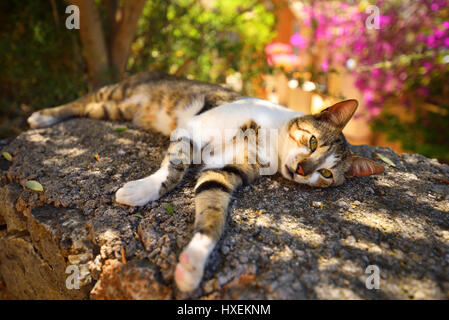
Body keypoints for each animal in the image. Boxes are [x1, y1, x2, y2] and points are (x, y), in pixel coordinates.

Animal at [26, 72, 384, 292]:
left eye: (327, 174)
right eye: (312, 141)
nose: (301, 169)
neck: (271, 144)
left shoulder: (223, 173)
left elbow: (212, 213)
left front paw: (192, 264)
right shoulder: (192, 129)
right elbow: (174, 168)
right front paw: (141, 191)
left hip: (115, 110)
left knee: (92, 107)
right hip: (117, 93)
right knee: (81, 101)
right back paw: (43, 116)